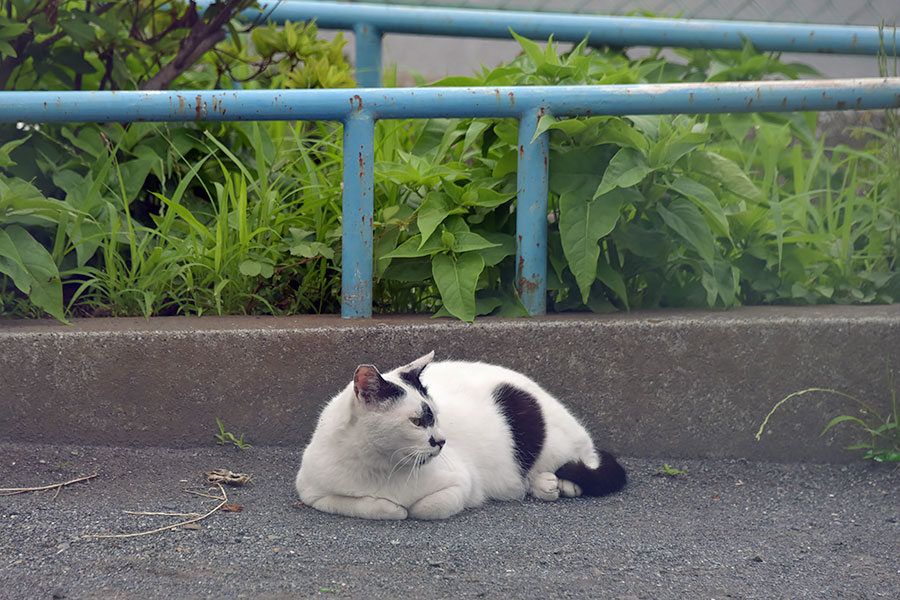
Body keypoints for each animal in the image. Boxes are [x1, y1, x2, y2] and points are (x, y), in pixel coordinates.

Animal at [296, 352, 624, 520]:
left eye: (437, 417)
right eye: (417, 421)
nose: (442, 442)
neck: (380, 467)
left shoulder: (461, 483)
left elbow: (424, 508)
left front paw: (405, 507)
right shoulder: (310, 492)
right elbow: (367, 505)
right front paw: (390, 506)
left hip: (546, 436)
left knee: (586, 461)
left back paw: (555, 483)